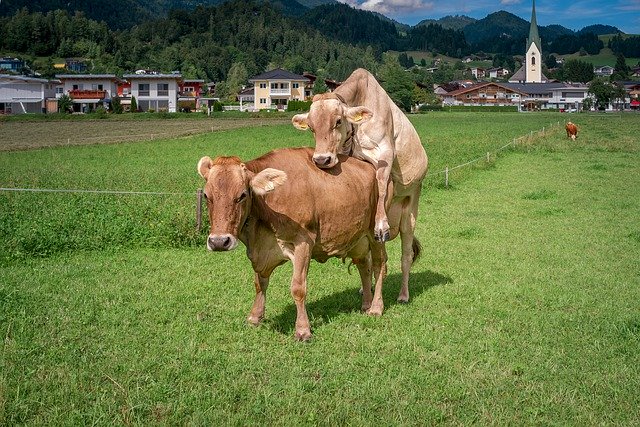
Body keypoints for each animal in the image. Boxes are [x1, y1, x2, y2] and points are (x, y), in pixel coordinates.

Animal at [196, 147, 384, 342]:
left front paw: (303, 330)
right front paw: (255, 317)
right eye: (206, 195)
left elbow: (298, 288)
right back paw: (366, 304)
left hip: (376, 232)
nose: (219, 241)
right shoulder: (261, 252)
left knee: (379, 266)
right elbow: (259, 284)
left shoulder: (303, 243)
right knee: (364, 266)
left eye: (242, 195)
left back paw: (376, 308)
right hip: (357, 238)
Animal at [292, 67, 428, 304]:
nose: (321, 160)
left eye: (338, 121)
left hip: (410, 210)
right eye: (311, 127)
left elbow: (381, 184)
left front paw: (381, 224)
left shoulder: (385, 152)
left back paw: (403, 294)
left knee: (406, 255)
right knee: (376, 258)